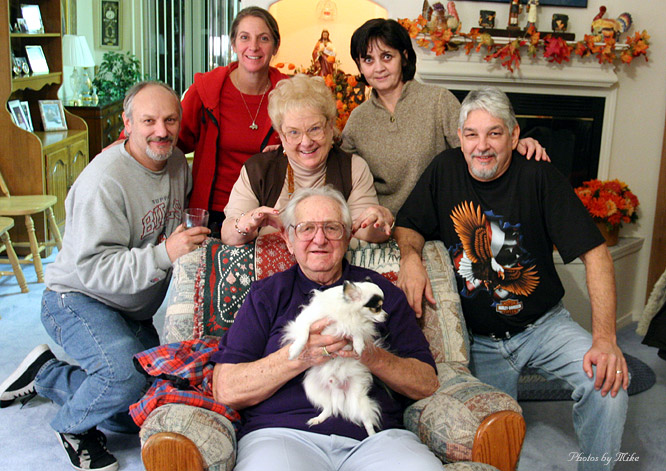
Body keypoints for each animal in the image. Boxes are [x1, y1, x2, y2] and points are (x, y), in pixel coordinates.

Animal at [282, 280, 387, 436]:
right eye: (377, 308)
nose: (386, 315)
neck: (350, 313)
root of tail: (336, 387)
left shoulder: (354, 326)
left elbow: (357, 331)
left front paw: (358, 345)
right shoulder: (306, 321)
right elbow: (304, 334)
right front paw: (295, 350)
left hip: (358, 399)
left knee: (367, 421)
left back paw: (372, 436)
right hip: (312, 388)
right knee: (329, 408)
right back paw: (318, 419)